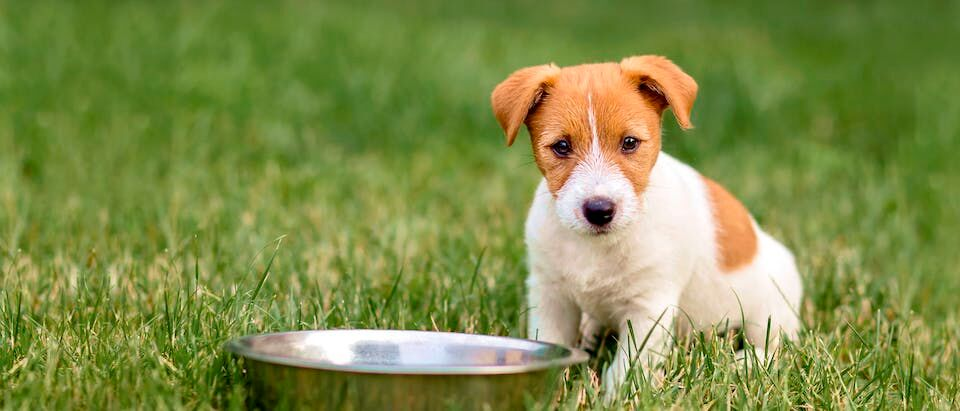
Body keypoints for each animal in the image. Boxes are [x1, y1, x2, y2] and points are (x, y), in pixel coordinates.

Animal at [492, 54, 800, 396]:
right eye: (561, 146)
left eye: (629, 143)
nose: (599, 210)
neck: (597, 247)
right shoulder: (551, 296)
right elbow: (551, 343)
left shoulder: (649, 307)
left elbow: (628, 367)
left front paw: (615, 397)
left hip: (772, 311)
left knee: (776, 349)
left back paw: (743, 363)